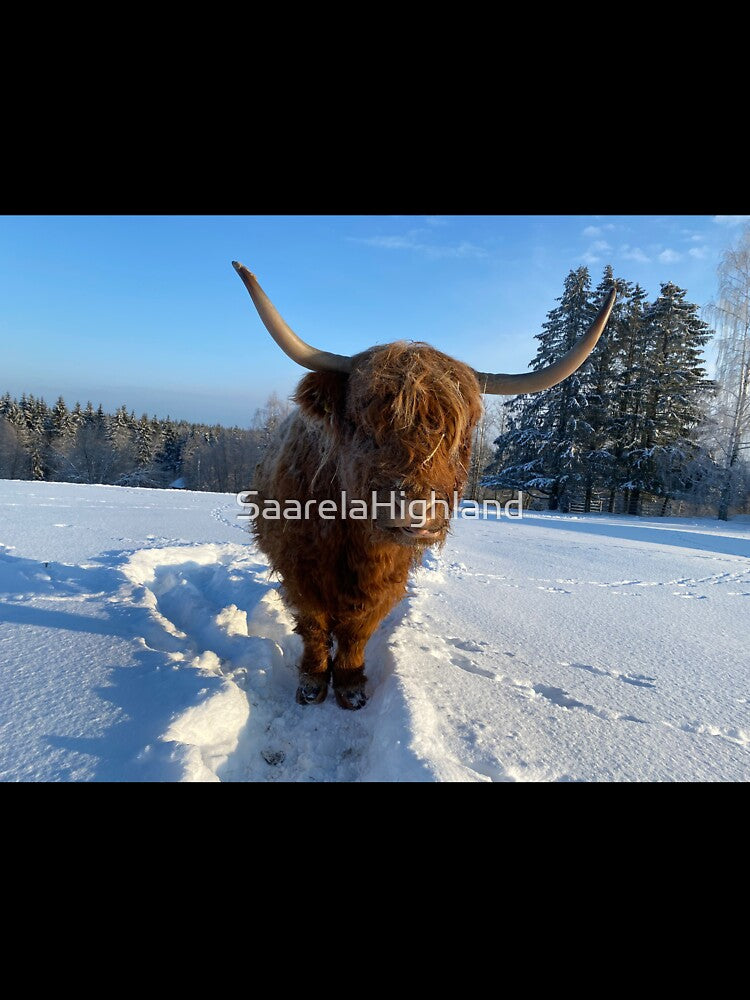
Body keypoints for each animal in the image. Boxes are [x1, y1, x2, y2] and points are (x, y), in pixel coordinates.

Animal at [232, 262, 616, 710]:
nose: (417, 513)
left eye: (461, 435)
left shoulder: (387, 579)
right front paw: (312, 684)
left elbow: (358, 631)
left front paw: (351, 686)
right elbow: (312, 625)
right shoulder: (300, 569)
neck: (353, 539)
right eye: (362, 425)